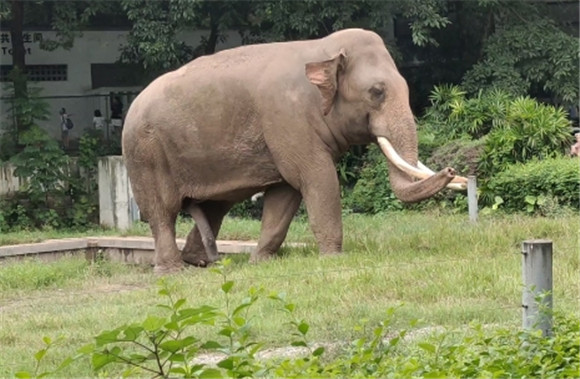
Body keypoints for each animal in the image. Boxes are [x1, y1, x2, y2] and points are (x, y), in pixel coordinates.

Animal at [122, 28, 466, 274]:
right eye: (377, 92)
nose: (452, 171)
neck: (322, 50)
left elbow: (285, 194)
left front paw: (260, 263)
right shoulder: (288, 119)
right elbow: (316, 178)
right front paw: (333, 259)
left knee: (213, 207)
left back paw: (201, 263)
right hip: (145, 153)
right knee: (162, 211)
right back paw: (172, 272)